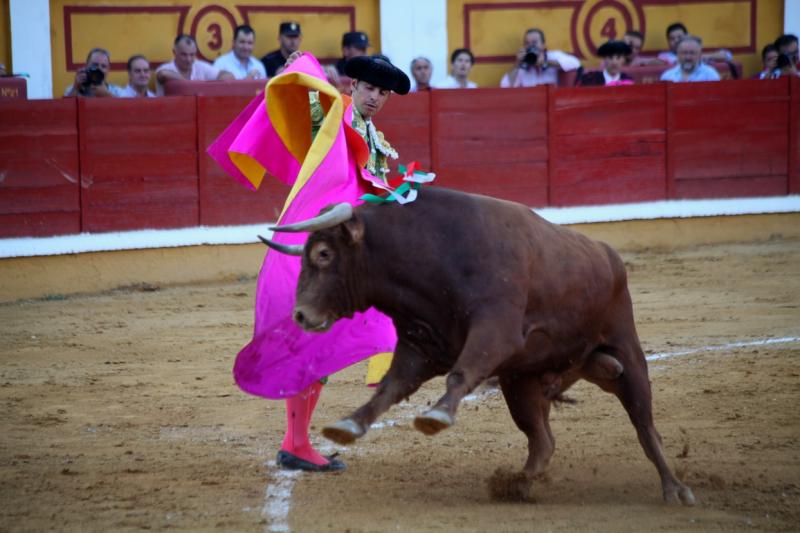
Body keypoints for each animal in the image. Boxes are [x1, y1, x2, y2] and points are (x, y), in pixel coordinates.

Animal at [262, 186, 692, 502]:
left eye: (323, 253)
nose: (300, 315)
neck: (428, 254)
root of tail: (608, 255)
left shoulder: (495, 330)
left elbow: (461, 373)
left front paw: (435, 416)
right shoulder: (420, 344)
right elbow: (390, 387)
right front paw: (348, 424)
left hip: (627, 350)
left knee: (645, 425)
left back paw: (675, 489)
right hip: (522, 381)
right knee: (543, 441)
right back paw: (516, 485)